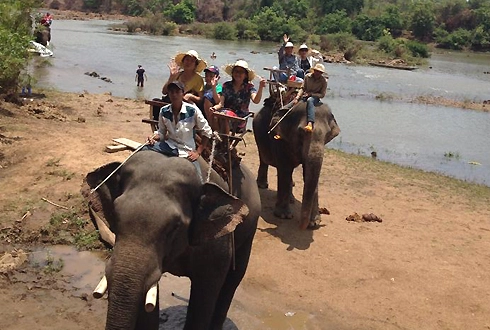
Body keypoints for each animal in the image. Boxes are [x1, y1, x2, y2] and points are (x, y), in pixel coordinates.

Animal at [82, 150, 262, 330]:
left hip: (250, 228)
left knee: (233, 279)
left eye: (175, 226)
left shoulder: (215, 247)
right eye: (115, 215)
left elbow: (205, 295)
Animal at [255, 95, 338, 229]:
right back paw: (262, 185)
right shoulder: (279, 139)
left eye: (327, 134)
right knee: (264, 159)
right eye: (301, 133)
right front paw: (284, 216)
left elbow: (308, 173)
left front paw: (314, 222)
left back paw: (291, 199)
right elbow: (285, 170)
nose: (303, 226)